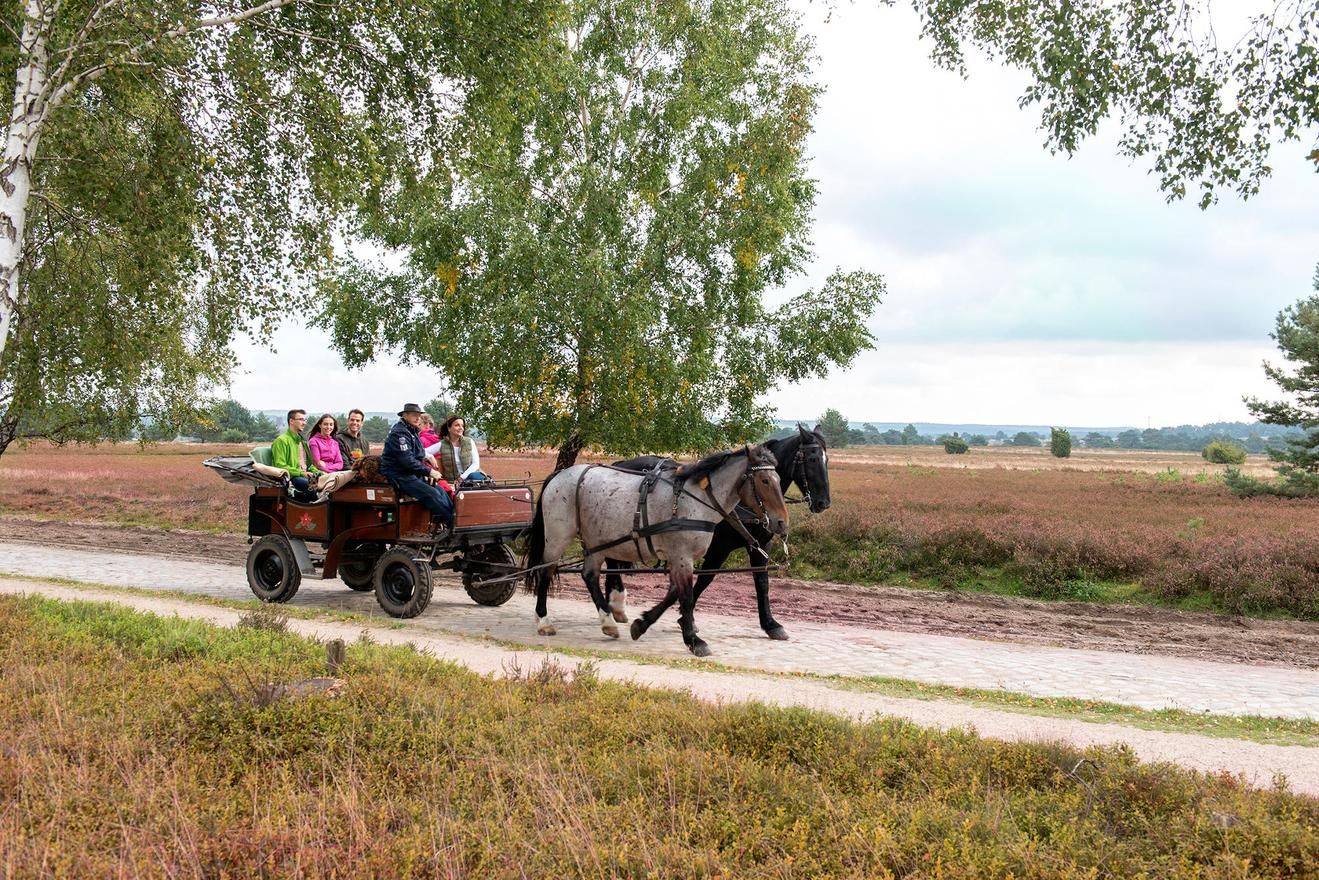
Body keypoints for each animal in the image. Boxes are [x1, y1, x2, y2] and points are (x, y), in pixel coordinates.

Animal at [523, 444, 789, 656]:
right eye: (765, 481)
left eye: (778, 480)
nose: (781, 522)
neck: (694, 500)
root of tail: (559, 475)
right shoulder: (682, 556)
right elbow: (686, 596)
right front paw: (693, 640)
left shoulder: (680, 557)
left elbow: (675, 593)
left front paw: (642, 624)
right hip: (557, 538)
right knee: (545, 573)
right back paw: (543, 621)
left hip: (596, 541)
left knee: (589, 576)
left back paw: (608, 621)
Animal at [605, 424, 830, 641]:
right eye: (812, 459)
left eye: (826, 460)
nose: (823, 503)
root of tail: (623, 462)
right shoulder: (718, 549)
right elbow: (703, 580)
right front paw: (682, 619)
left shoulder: (759, 546)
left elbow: (762, 583)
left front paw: (770, 624)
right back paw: (613, 608)